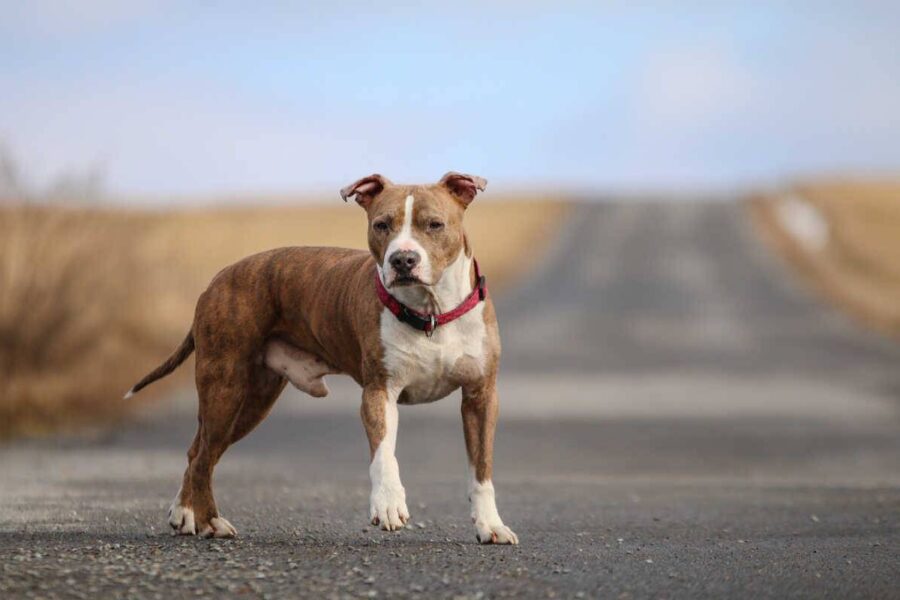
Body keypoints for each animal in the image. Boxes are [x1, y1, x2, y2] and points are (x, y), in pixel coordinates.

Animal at [128, 172, 520, 544]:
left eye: (434, 224)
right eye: (382, 224)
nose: (403, 259)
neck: (430, 314)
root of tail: (216, 280)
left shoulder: (481, 397)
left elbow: (481, 470)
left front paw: (491, 526)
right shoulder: (379, 393)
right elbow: (384, 455)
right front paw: (388, 503)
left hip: (252, 401)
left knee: (199, 451)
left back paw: (186, 514)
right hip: (225, 388)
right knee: (203, 456)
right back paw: (207, 520)